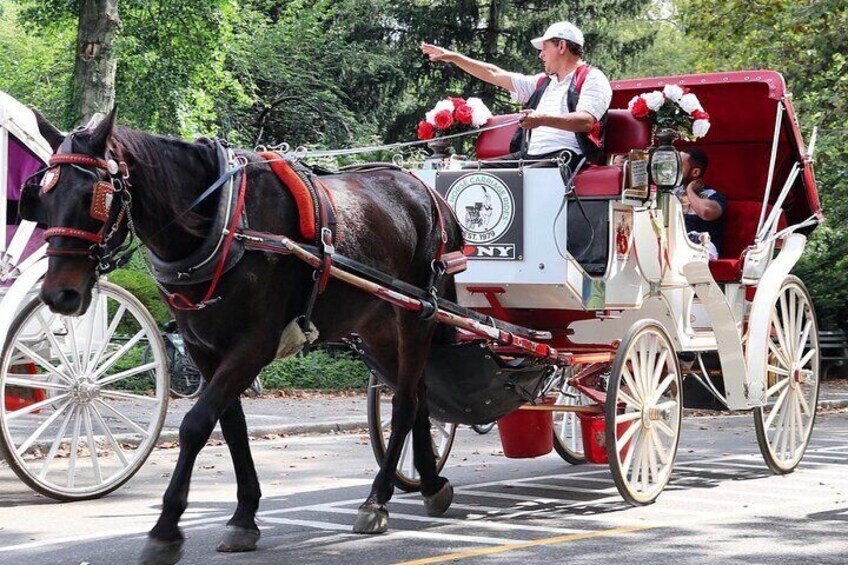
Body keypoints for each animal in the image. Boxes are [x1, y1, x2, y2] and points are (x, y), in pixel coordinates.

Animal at [24, 108, 464, 560]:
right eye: (43, 196)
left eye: (94, 196)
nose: (59, 294)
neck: (224, 223)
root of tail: (430, 195)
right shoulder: (204, 349)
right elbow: (231, 426)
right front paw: (244, 516)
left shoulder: (253, 345)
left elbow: (196, 424)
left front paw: (166, 528)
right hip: (377, 328)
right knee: (420, 395)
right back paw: (430, 483)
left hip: (416, 317)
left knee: (405, 403)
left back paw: (377, 499)